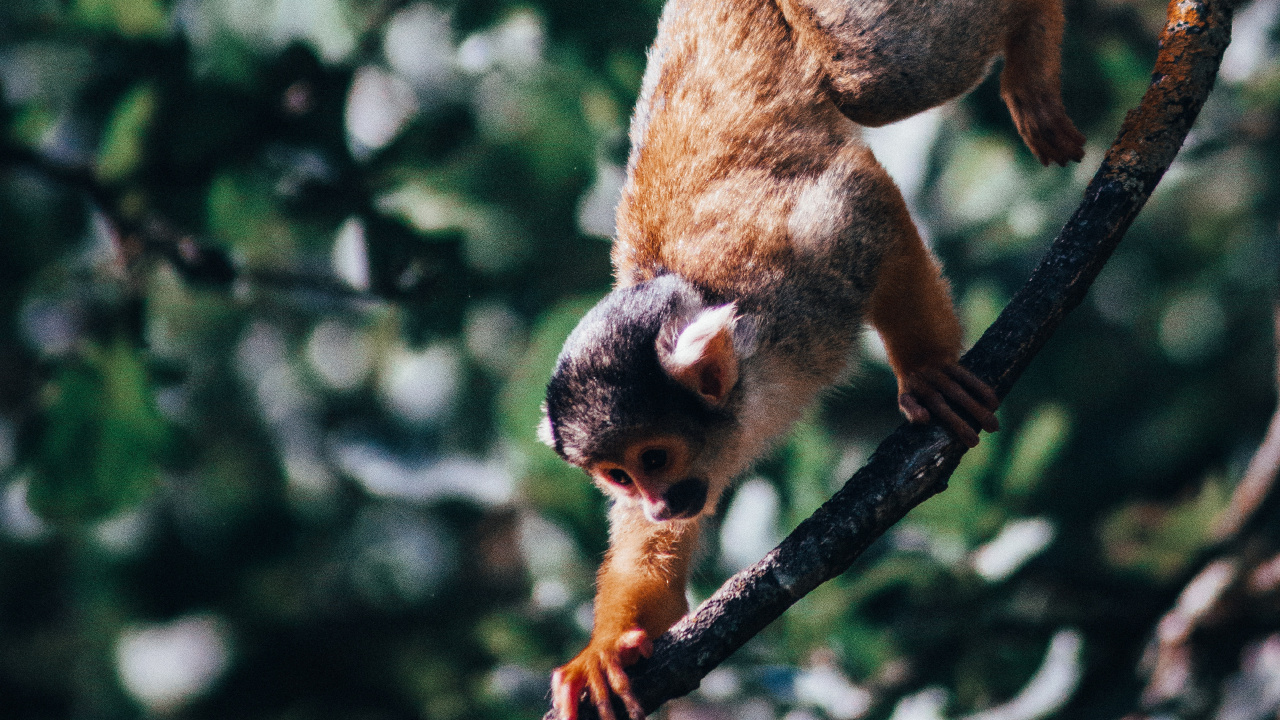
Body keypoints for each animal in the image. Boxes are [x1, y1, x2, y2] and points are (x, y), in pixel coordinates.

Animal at [539, 0, 1084, 717]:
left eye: (654, 459)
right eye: (620, 477)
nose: (655, 502)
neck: (748, 387)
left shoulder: (788, 283)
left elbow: (857, 199)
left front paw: (927, 371)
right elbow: (654, 566)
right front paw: (606, 650)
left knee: (872, 77)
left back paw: (1034, 30)